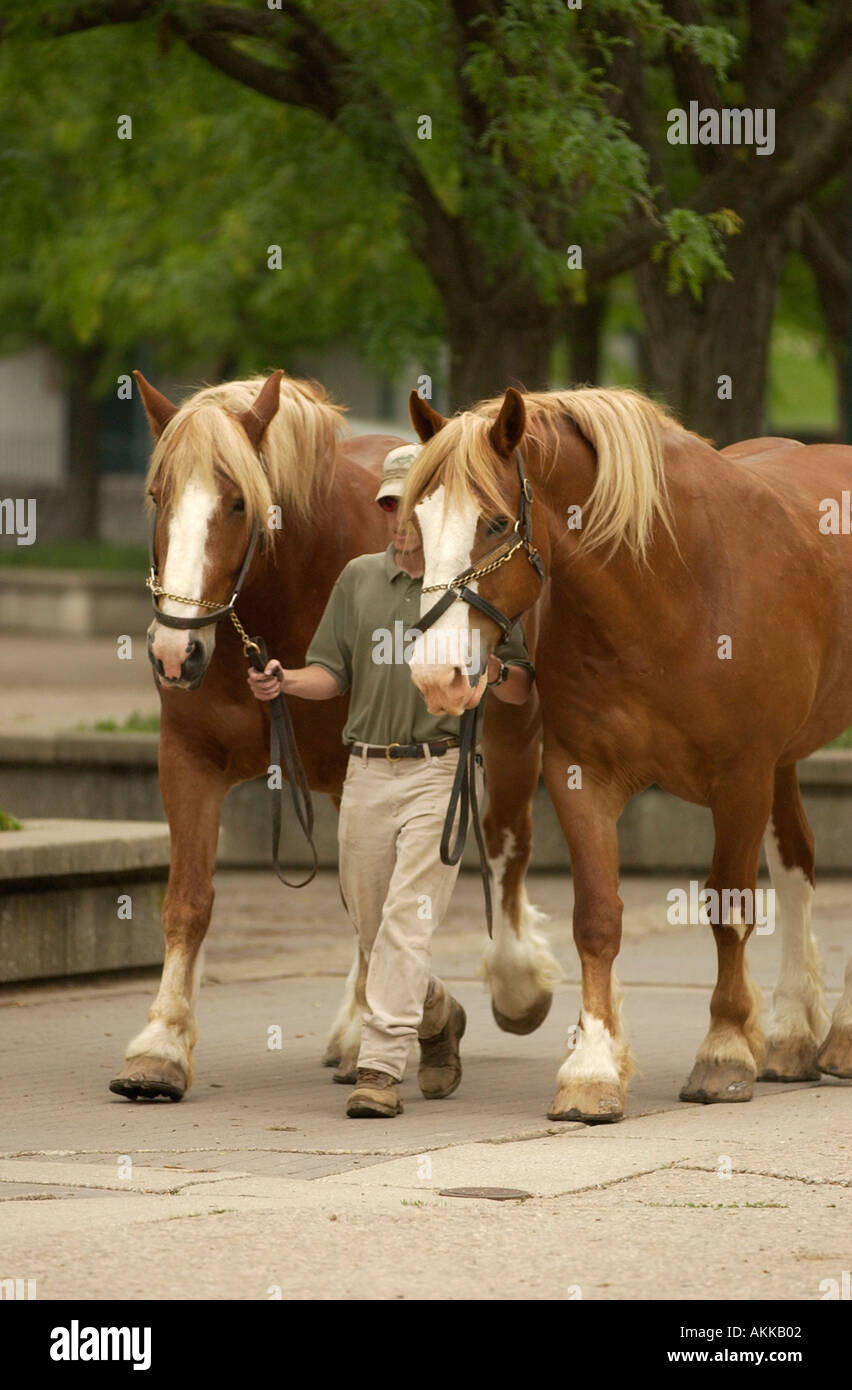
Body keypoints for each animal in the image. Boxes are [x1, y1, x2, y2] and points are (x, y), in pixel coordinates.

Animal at [402, 383, 852, 1124]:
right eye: (415, 520)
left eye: (494, 523)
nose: (437, 675)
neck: (669, 592)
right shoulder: (581, 774)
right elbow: (596, 918)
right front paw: (591, 1068)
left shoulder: (741, 778)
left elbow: (727, 907)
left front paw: (725, 1049)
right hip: (785, 762)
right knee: (796, 863)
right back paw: (792, 1032)